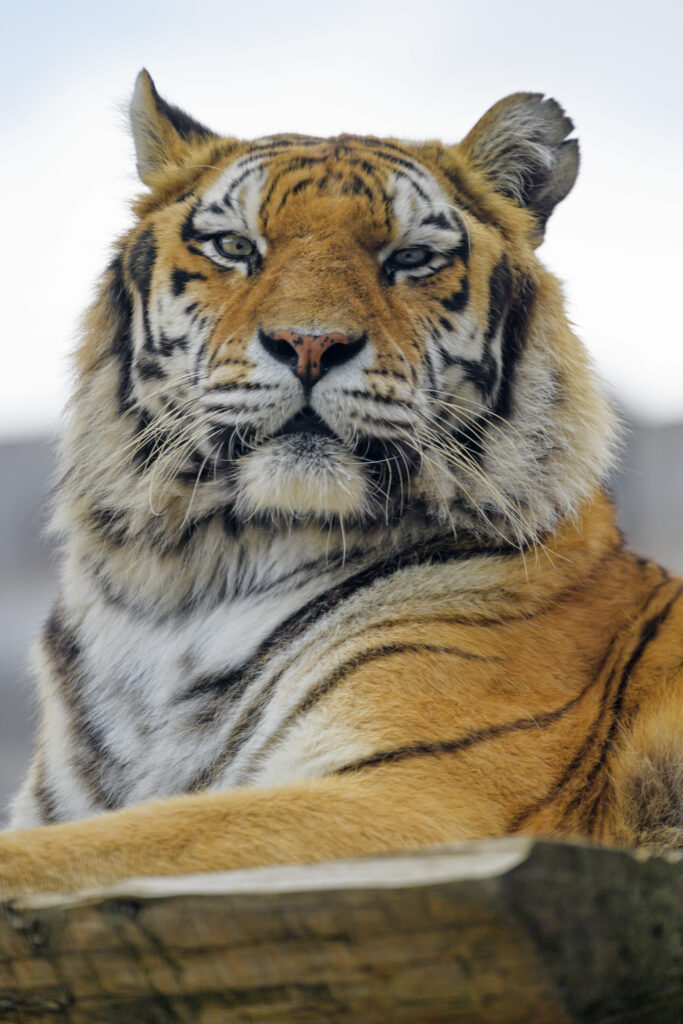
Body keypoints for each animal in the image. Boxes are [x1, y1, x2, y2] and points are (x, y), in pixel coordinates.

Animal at [0, 69, 681, 899]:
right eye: (236, 247)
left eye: (411, 258)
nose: (309, 344)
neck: (182, 590)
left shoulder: (414, 801)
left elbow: (90, 849)